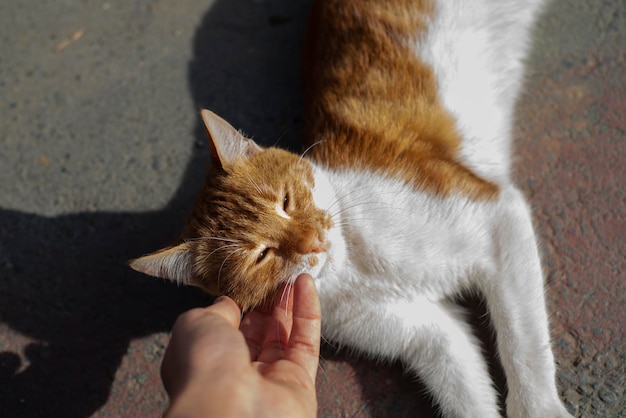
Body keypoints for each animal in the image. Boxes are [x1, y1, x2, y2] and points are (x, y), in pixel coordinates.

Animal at [130, 0, 572, 418]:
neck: (355, 266)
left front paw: (541, 408)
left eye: (286, 201)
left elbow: (523, 342)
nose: (313, 241)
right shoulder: (431, 333)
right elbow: (464, 385)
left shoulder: (498, 219)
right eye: (261, 255)